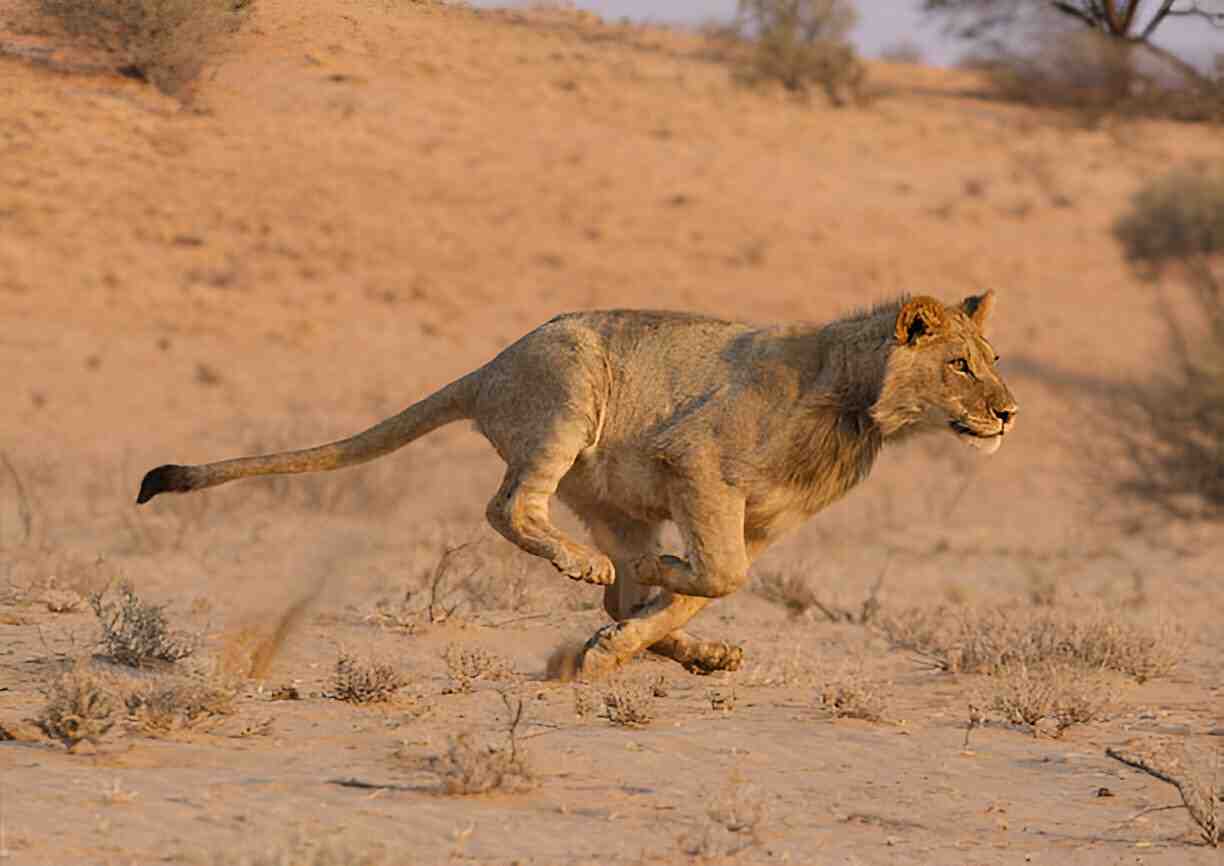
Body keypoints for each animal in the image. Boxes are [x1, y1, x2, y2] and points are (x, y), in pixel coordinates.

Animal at [138, 292, 1017, 679]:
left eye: (995, 359)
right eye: (959, 365)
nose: (1009, 413)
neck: (861, 406)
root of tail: (489, 367)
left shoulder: (762, 520)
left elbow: (712, 586)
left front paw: (646, 634)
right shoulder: (698, 464)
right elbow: (716, 574)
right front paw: (662, 579)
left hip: (610, 495)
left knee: (619, 597)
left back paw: (683, 647)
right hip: (569, 393)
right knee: (509, 508)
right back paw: (597, 570)